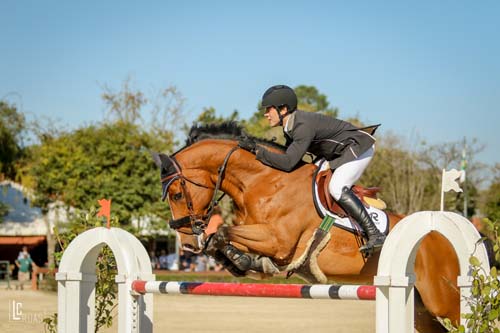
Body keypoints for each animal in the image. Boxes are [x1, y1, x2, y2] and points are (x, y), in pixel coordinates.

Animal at [153, 122, 460, 330]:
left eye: (177, 194)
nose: (187, 244)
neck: (261, 181)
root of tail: (438, 234)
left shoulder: (278, 241)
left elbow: (220, 233)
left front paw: (240, 260)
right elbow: (220, 241)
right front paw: (242, 262)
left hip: (443, 301)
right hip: (420, 308)